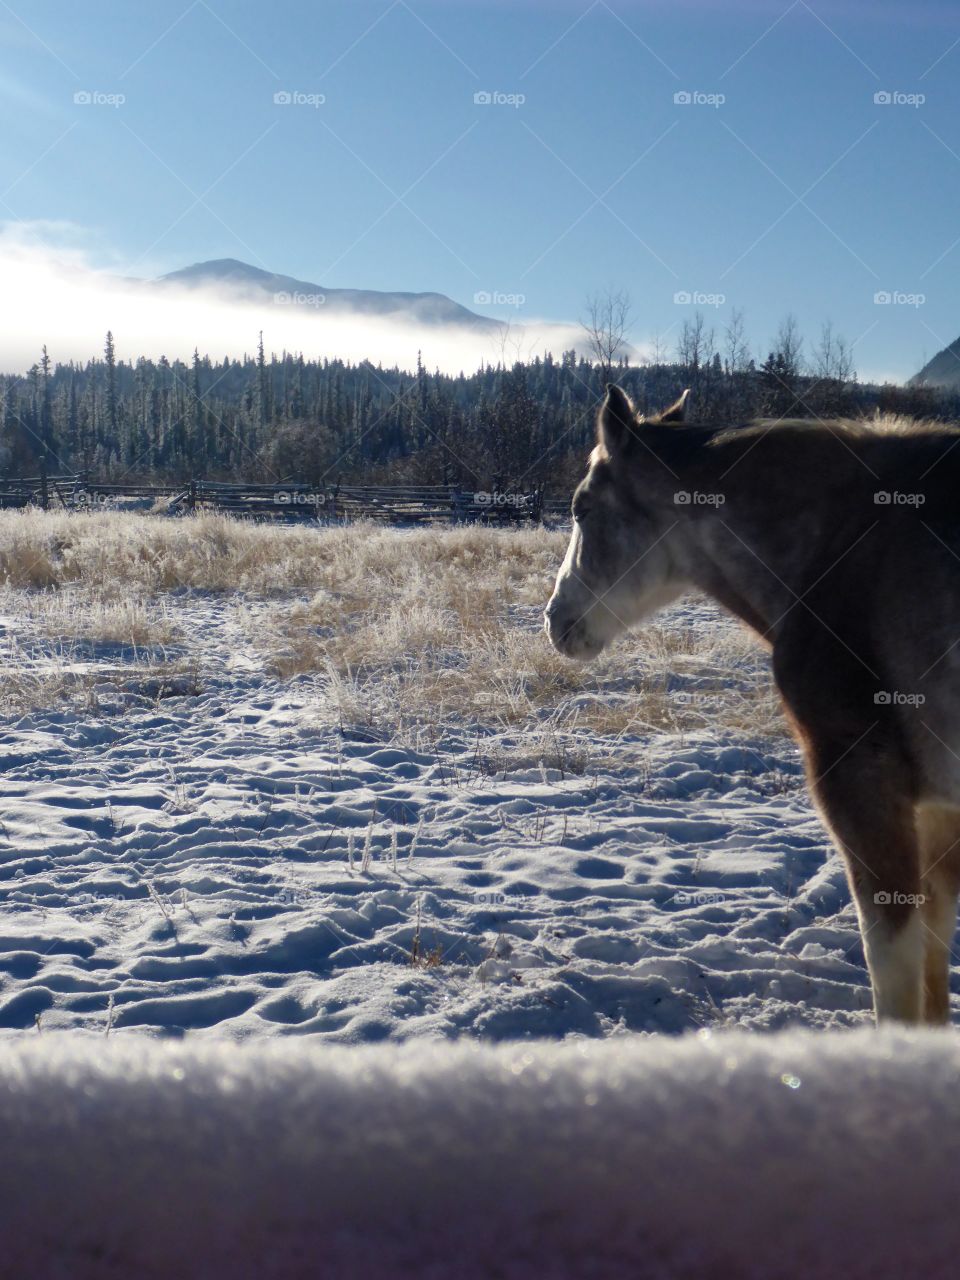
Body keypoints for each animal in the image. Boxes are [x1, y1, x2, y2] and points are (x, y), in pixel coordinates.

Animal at [545, 384, 960, 1024]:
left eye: (581, 508)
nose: (554, 620)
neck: (842, 544)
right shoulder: (940, 808)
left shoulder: (861, 781)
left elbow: (893, 969)